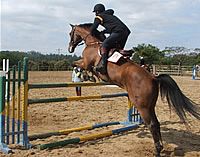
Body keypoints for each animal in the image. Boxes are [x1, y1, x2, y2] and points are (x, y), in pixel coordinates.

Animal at [67, 22, 200, 156]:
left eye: (70, 33)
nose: (70, 49)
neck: (93, 43)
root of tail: (153, 77)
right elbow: (78, 65)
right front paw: (89, 76)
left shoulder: (86, 63)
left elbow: (76, 64)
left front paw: (88, 76)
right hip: (149, 106)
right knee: (156, 123)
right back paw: (160, 146)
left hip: (141, 106)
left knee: (152, 124)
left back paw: (157, 150)